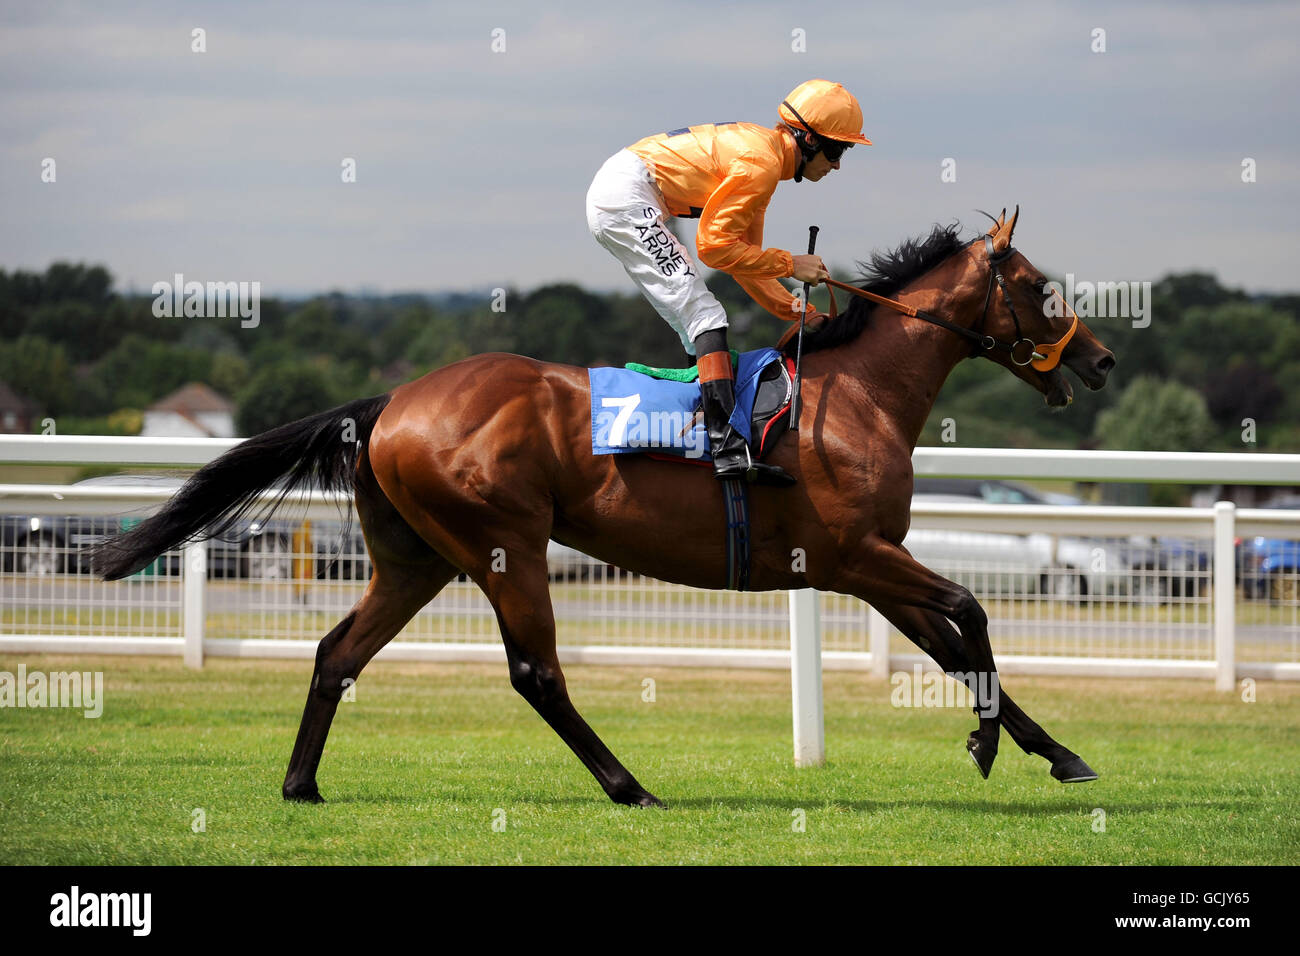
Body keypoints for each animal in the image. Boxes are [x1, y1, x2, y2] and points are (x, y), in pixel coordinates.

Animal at [96, 209, 1118, 806]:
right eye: (1039, 286)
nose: (1101, 358)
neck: (855, 395)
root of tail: (390, 402)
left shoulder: (863, 569)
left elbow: (954, 650)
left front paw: (1055, 752)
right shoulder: (858, 556)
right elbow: (971, 615)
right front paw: (989, 744)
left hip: (417, 558)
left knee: (337, 653)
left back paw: (301, 784)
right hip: (503, 545)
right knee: (536, 673)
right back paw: (629, 785)